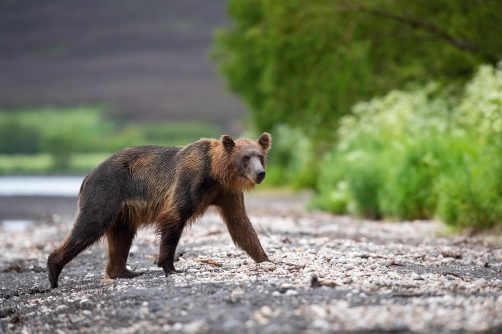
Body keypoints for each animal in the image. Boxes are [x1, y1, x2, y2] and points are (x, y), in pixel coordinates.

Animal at [48, 132, 270, 288]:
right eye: (246, 157)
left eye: (260, 156)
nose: (260, 173)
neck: (215, 174)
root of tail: (88, 175)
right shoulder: (190, 180)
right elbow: (174, 218)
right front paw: (170, 267)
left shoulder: (226, 193)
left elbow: (241, 224)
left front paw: (265, 258)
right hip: (106, 192)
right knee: (90, 225)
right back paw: (53, 270)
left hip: (123, 212)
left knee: (121, 237)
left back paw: (124, 271)